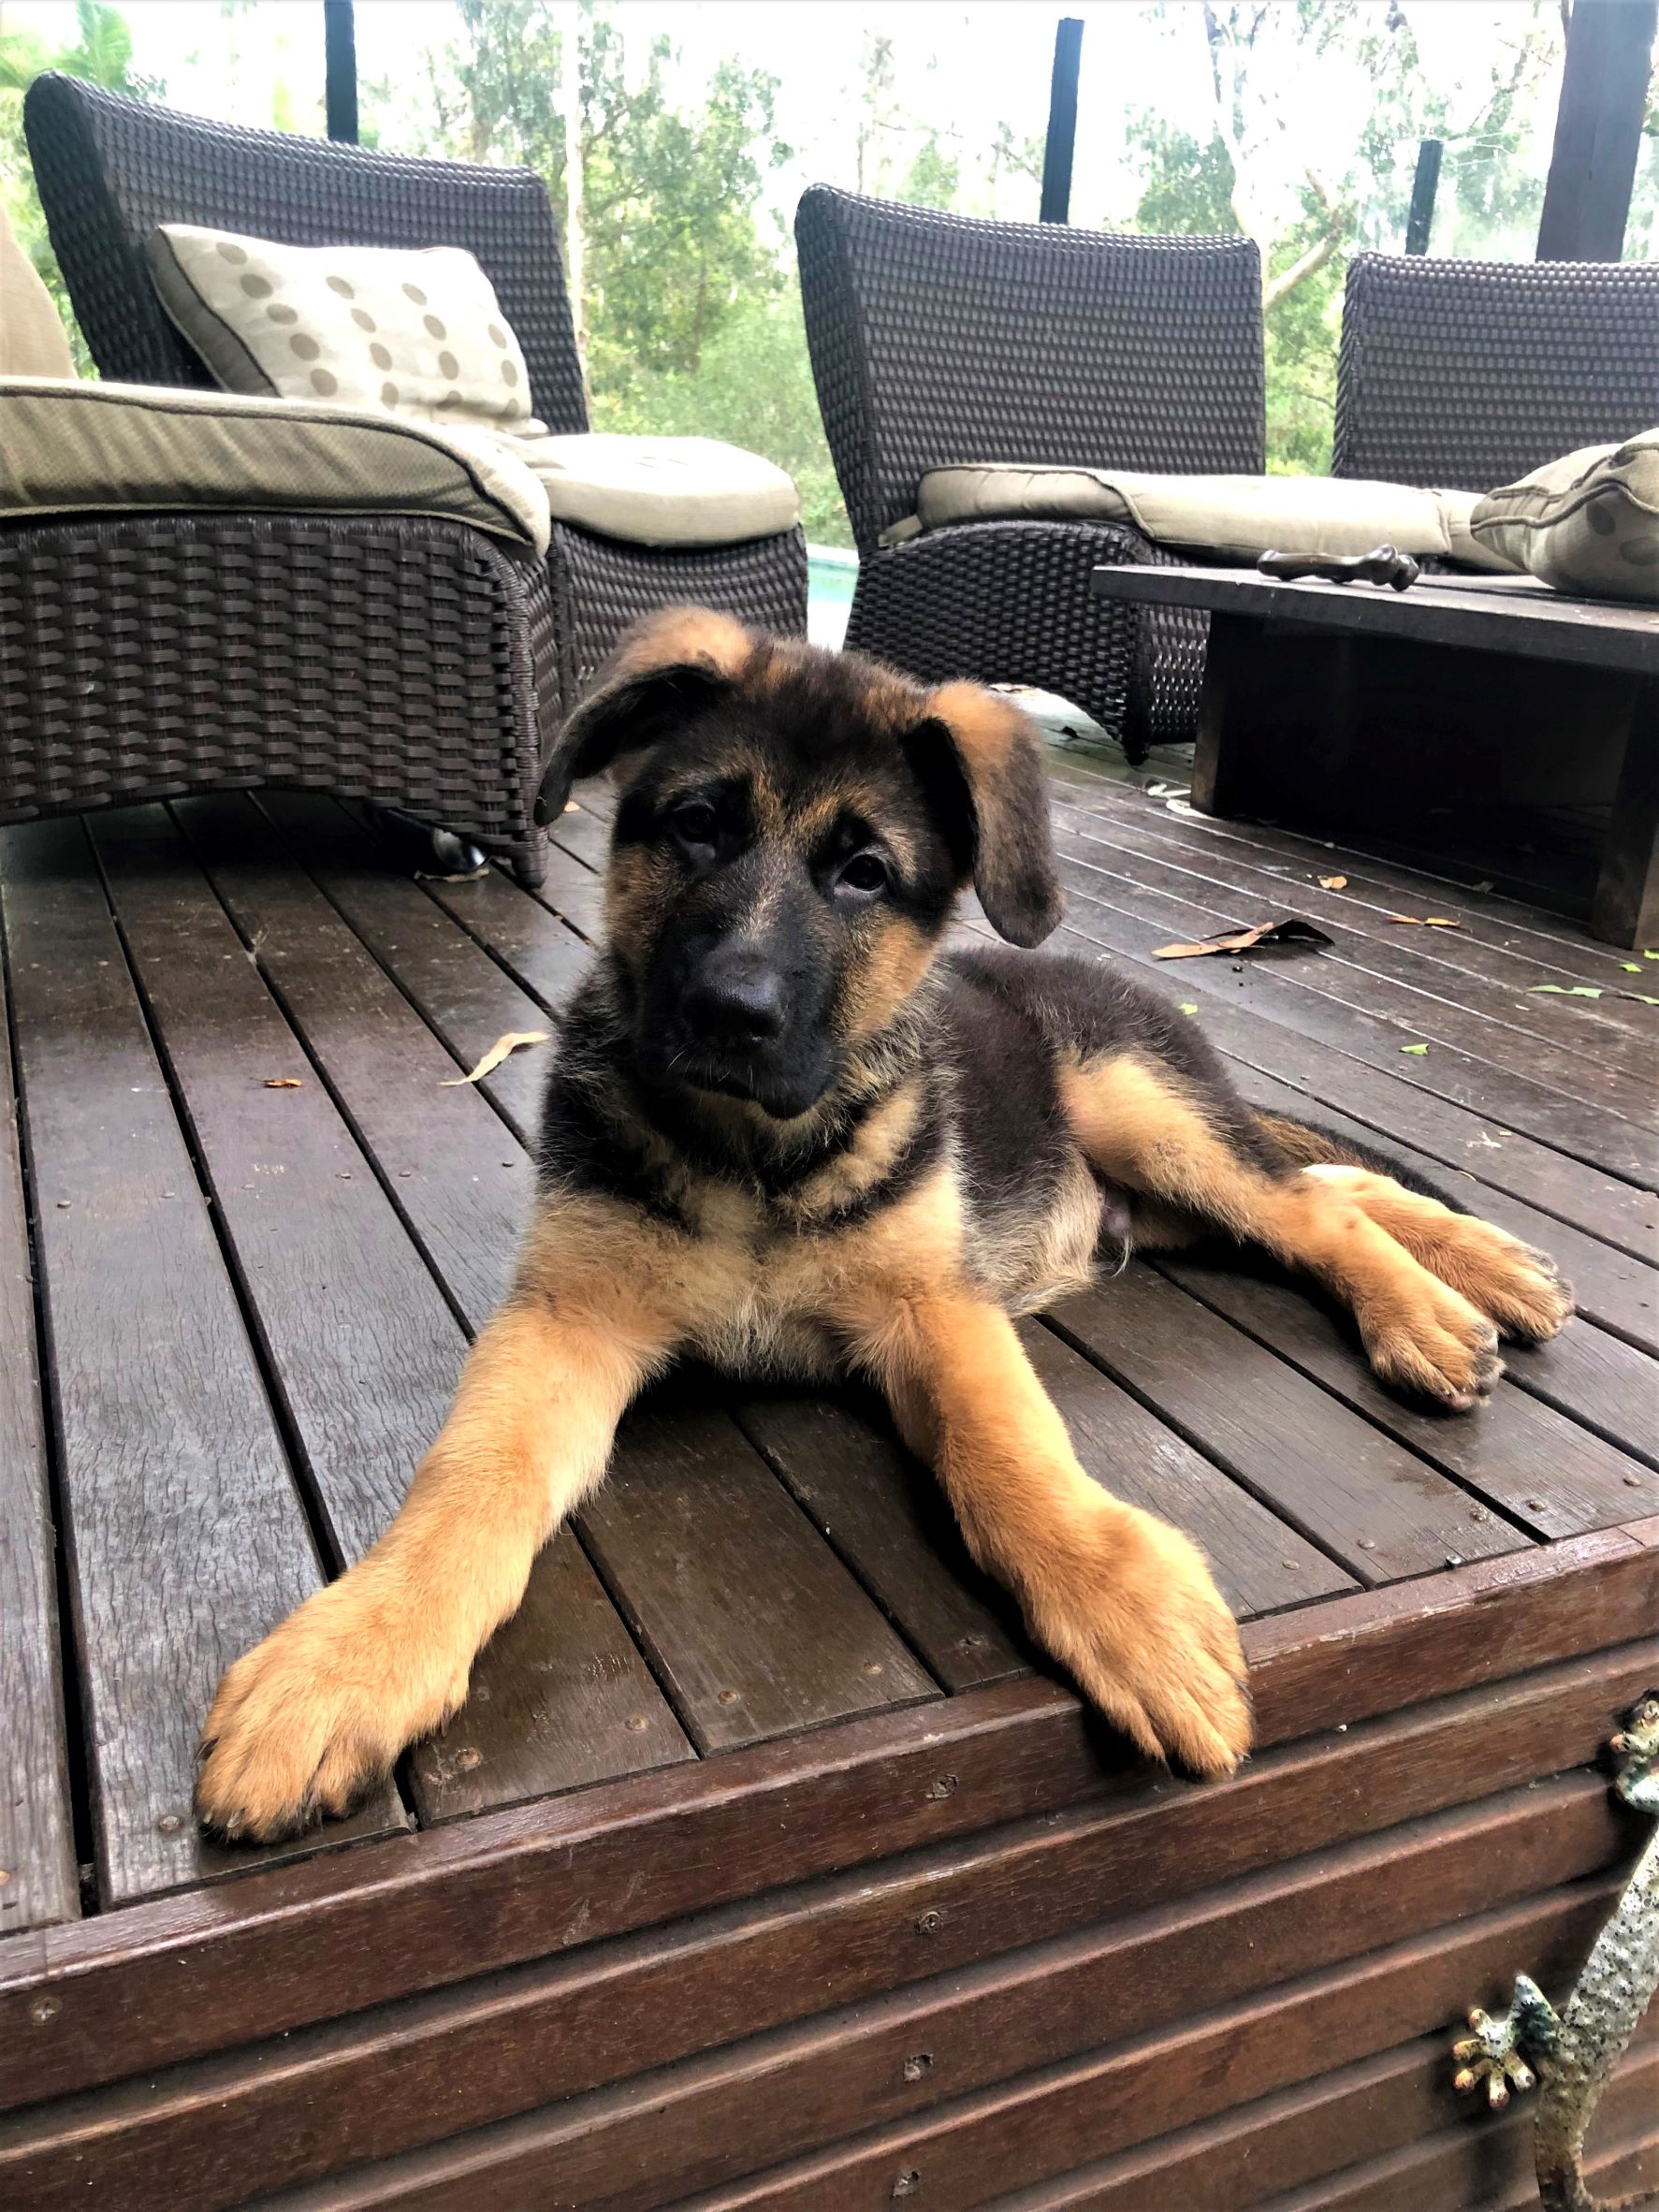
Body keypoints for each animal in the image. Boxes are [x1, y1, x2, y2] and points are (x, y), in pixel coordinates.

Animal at [191, 610, 1575, 1849]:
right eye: (695, 824)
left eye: (864, 873)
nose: (728, 1013)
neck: (754, 1158)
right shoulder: (568, 1314)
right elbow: (467, 1478)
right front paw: (346, 1661)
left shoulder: (936, 1306)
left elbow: (1005, 1451)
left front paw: (1124, 1603)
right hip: (1161, 1195)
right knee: (1321, 1185)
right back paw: (1483, 1279)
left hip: (1137, 1109)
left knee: (1304, 1199)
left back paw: (1437, 1309)